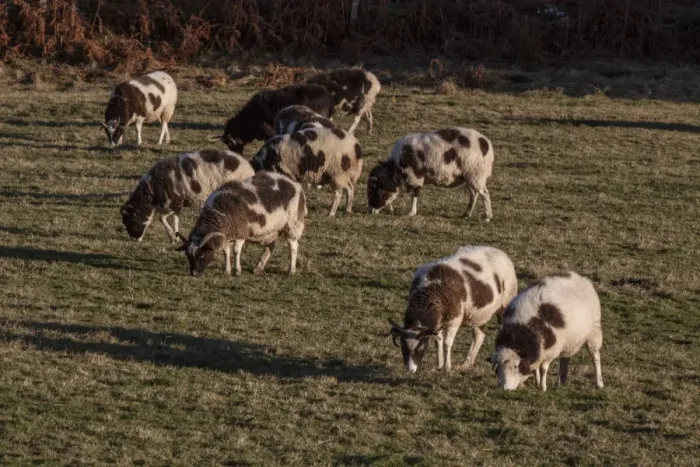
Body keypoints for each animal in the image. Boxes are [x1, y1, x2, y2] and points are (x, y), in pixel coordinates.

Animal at [120, 149, 254, 243]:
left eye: (131, 220)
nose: (135, 238)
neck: (151, 191)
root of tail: (249, 168)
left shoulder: (174, 202)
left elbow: (161, 218)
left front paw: (172, 236)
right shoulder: (177, 205)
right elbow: (175, 219)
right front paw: (175, 237)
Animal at [176, 171, 306, 277]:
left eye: (202, 255)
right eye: (188, 256)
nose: (194, 274)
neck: (219, 213)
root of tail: (295, 184)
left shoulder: (241, 231)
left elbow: (236, 251)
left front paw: (237, 271)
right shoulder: (227, 234)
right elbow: (226, 252)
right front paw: (227, 271)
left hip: (292, 224)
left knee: (293, 246)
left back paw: (291, 271)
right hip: (272, 228)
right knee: (270, 246)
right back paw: (258, 268)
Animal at [386, 245, 517, 373]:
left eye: (421, 347)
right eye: (403, 346)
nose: (410, 370)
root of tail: (499, 252)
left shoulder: (454, 320)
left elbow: (446, 344)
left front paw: (447, 367)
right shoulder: (438, 321)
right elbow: (438, 341)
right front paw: (439, 365)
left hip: (505, 304)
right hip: (478, 314)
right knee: (479, 336)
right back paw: (467, 364)